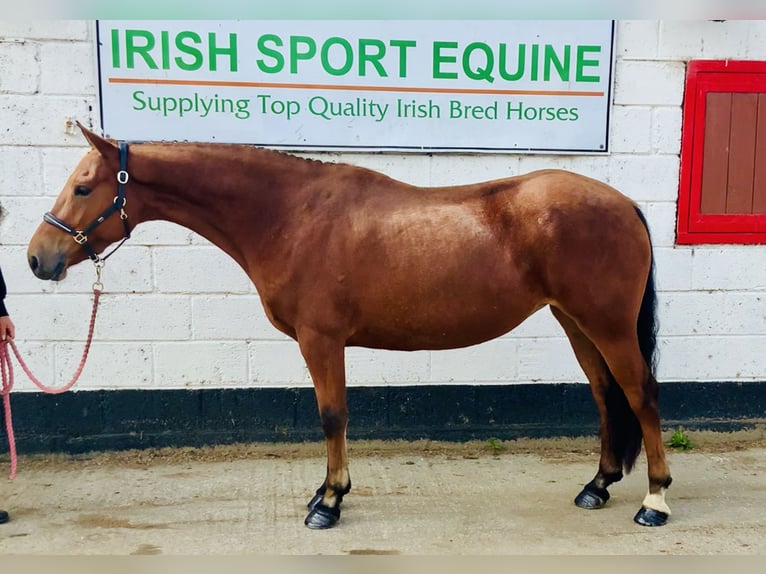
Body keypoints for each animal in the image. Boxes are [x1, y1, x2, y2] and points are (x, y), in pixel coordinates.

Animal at [25, 125, 672, 532]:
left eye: (83, 186)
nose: (37, 258)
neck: (289, 215)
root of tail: (624, 203)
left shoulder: (322, 338)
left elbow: (332, 414)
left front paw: (329, 502)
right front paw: (326, 491)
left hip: (606, 323)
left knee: (641, 395)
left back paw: (655, 499)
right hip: (575, 321)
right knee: (605, 395)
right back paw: (598, 485)